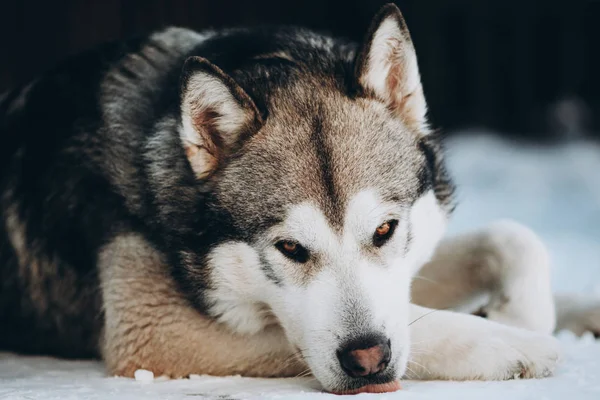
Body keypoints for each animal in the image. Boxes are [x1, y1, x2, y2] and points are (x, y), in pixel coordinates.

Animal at [1, 3, 600, 396]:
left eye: (385, 230)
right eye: (289, 248)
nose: (367, 360)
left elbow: (512, 238)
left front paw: (521, 314)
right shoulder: (154, 333)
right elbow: (416, 321)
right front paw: (516, 344)